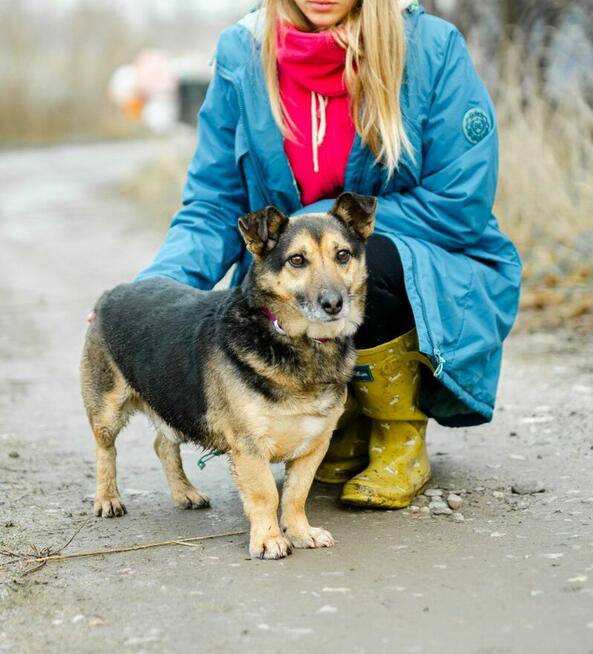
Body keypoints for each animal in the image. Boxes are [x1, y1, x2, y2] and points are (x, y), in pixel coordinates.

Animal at [80, 191, 374, 560]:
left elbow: (295, 495)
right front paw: (268, 539)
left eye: (343, 255)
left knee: (163, 444)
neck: (296, 342)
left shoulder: (314, 445)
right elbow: (266, 495)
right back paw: (107, 498)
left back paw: (185, 492)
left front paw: (300, 532)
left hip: (174, 401)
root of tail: (114, 291)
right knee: (106, 451)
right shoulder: (249, 447)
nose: (333, 304)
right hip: (107, 409)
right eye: (296, 260)